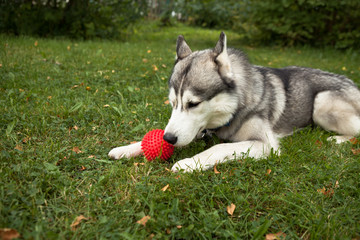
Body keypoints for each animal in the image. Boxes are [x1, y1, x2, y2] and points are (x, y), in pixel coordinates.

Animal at [109, 32, 360, 172]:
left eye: (193, 104)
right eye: (172, 103)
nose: (169, 139)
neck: (235, 108)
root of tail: (352, 83)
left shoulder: (266, 145)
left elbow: (219, 147)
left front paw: (189, 163)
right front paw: (128, 148)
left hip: (322, 103)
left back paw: (338, 139)